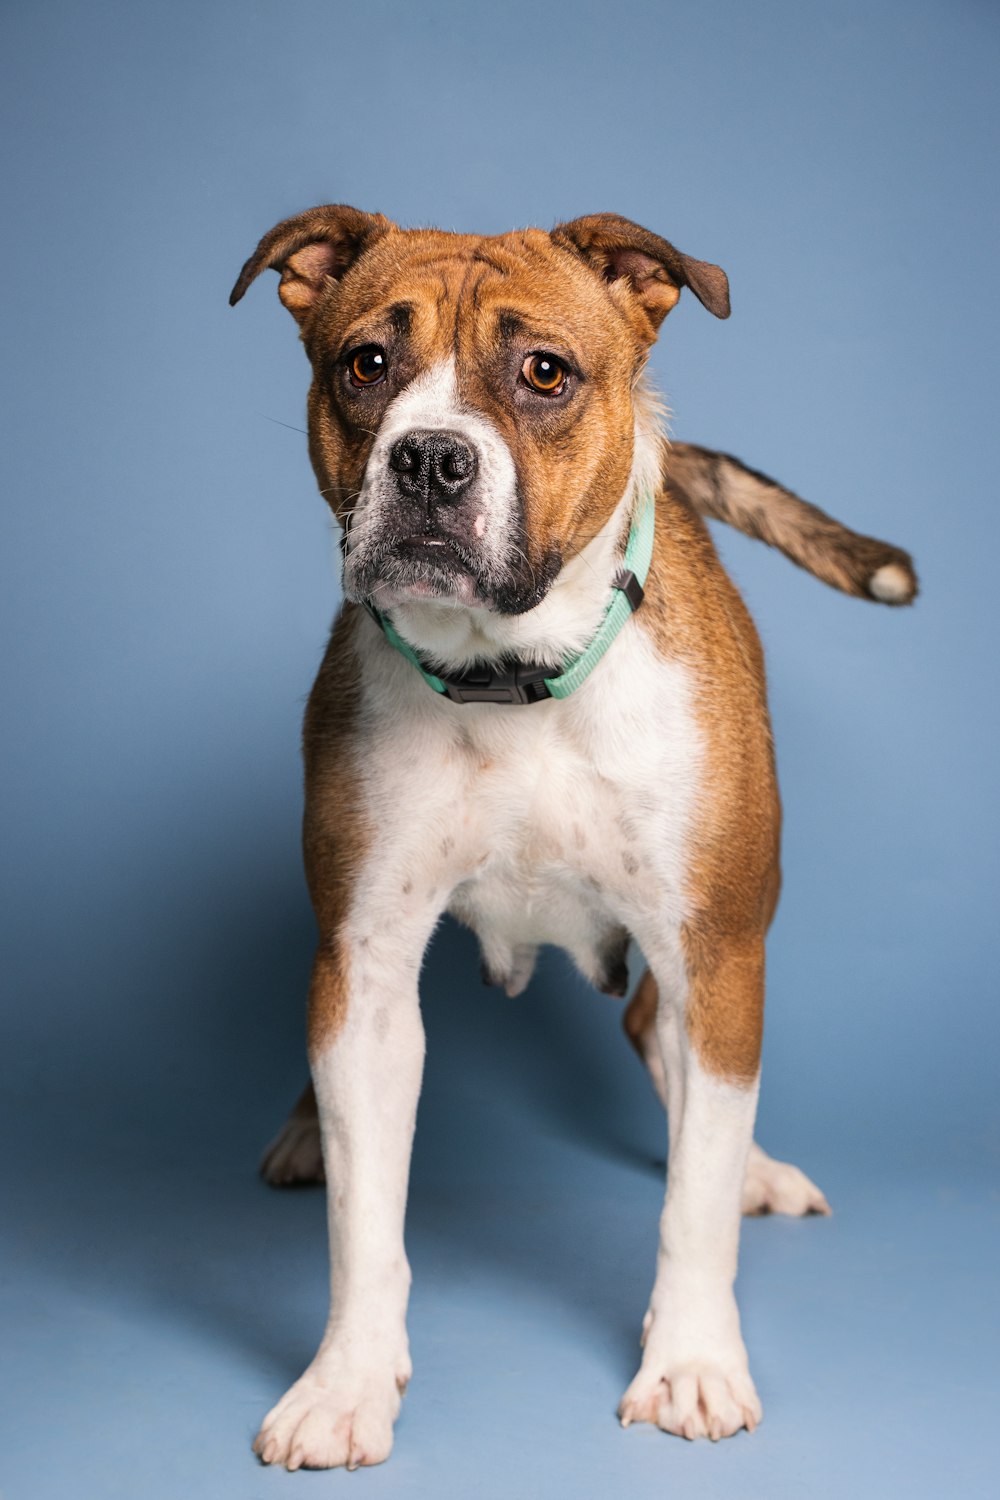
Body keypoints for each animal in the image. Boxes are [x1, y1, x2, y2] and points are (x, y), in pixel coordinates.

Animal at [230, 205, 917, 1470]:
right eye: (366, 364)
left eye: (543, 373)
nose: (429, 458)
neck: (512, 676)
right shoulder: (367, 960)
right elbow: (366, 1220)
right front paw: (345, 1384)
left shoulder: (715, 948)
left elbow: (690, 1206)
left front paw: (690, 1362)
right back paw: (305, 1135)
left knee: (675, 1056)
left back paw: (748, 1164)